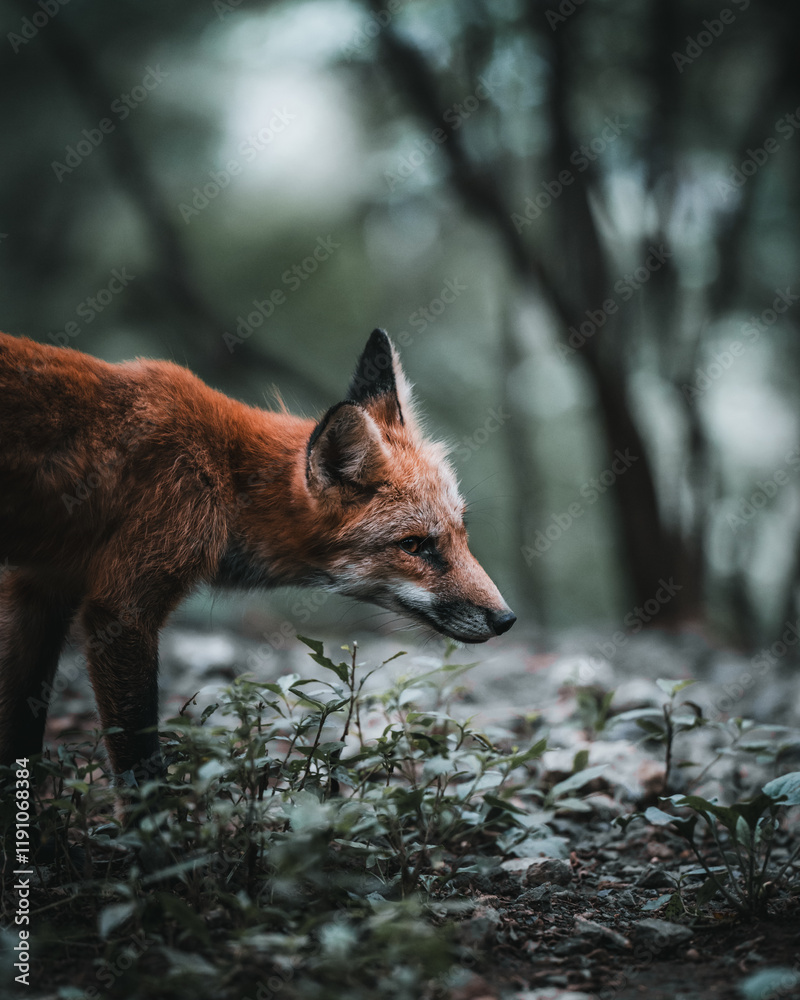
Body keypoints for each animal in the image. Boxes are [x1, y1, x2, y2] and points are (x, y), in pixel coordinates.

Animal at [0, 328, 515, 783]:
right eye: (413, 545)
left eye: (460, 532)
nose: (507, 620)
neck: (224, 475)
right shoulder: (120, 609)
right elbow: (140, 770)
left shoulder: (40, 586)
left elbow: (21, 741)